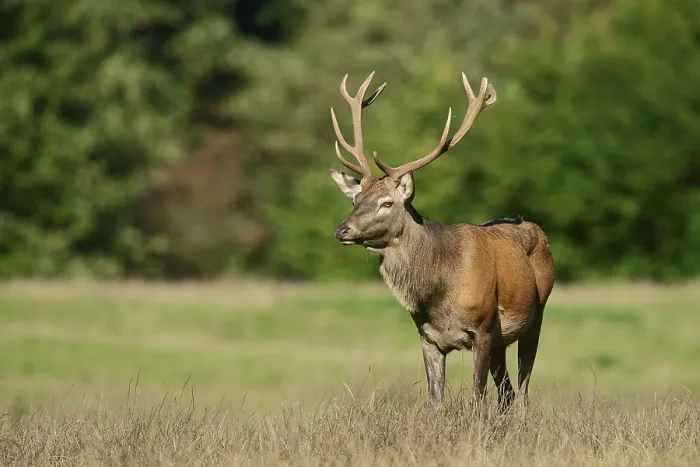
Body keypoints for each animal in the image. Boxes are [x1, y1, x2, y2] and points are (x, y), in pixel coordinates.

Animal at [328, 72, 555, 410]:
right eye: (355, 199)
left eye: (387, 203)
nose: (342, 230)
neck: (438, 292)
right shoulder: (427, 336)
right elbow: (435, 402)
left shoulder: (483, 329)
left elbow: (477, 398)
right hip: (502, 342)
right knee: (507, 393)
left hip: (535, 316)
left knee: (522, 391)